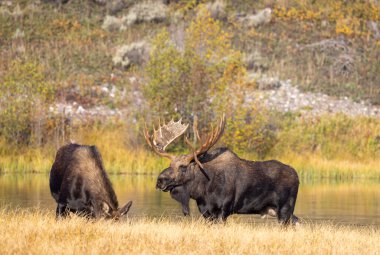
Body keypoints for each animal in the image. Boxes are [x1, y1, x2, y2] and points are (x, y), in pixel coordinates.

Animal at [145, 115, 300, 225]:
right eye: (170, 164)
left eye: (183, 167)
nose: (160, 180)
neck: (201, 190)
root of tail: (297, 176)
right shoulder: (206, 212)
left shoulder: (224, 210)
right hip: (278, 211)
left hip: (285, 209)